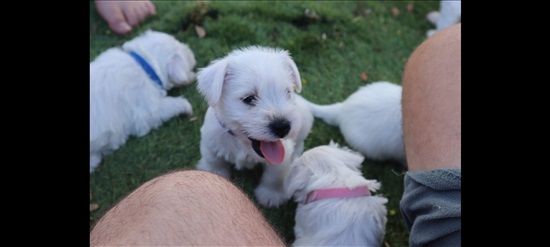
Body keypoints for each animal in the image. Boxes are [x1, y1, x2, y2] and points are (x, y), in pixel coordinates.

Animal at [197, 45, 314, 206]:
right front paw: (213, 172)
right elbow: (213, 160)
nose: (282, 127)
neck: (241, 144)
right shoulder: (210, 140)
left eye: (287, 92)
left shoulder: (283, 153)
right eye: (249, 98)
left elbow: (275, 174)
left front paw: (271, 195)